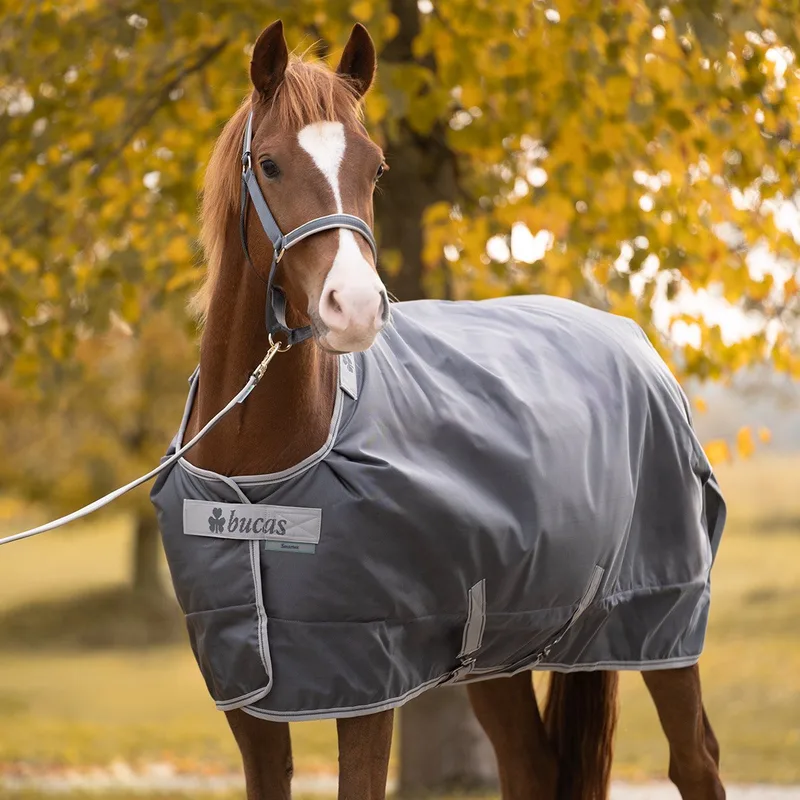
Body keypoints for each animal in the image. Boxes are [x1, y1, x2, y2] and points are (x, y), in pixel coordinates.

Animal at [157, 20, 726, 800]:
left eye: (375, 169)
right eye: (269, 165)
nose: (356, 306)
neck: (257, 474)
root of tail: (635, 342)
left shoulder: (369, 683)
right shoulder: (249, 696)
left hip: (662, 623)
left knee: (695, 761)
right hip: (506, 646)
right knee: (530, 765)